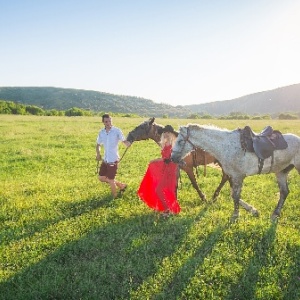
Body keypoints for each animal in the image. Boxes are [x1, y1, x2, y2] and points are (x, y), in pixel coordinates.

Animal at [171, 123, 300, 221]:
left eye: (180, 141)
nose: (172, 158)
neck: (225, 146)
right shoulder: (232, 175)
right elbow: (234, 195)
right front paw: (248, 211)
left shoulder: (238, 176)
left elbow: (235, 196)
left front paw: (235, 216)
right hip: (281, 172)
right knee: (284, 192)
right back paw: (275, 214)